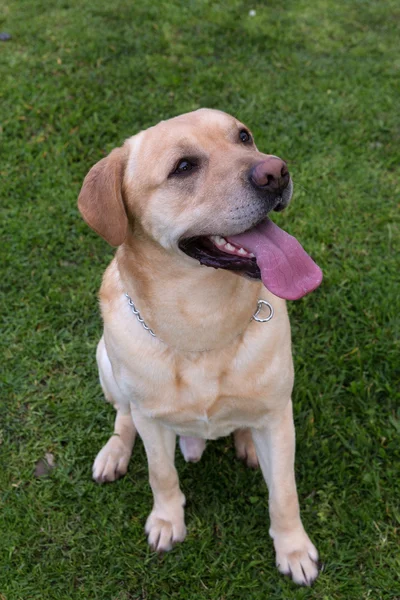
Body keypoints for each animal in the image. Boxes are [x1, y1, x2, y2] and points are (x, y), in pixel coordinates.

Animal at [77, 108, 322, 584]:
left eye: (243, 137)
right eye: (184, 167)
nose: (275, 171)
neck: (202, 325)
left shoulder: (278, 415)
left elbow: (284, 492)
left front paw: (294, 549)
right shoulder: (152, 421)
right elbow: (161, 474)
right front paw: (166, 521)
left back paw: (247, 442)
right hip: (105, 362)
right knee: (123, 415)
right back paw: (114, 452)